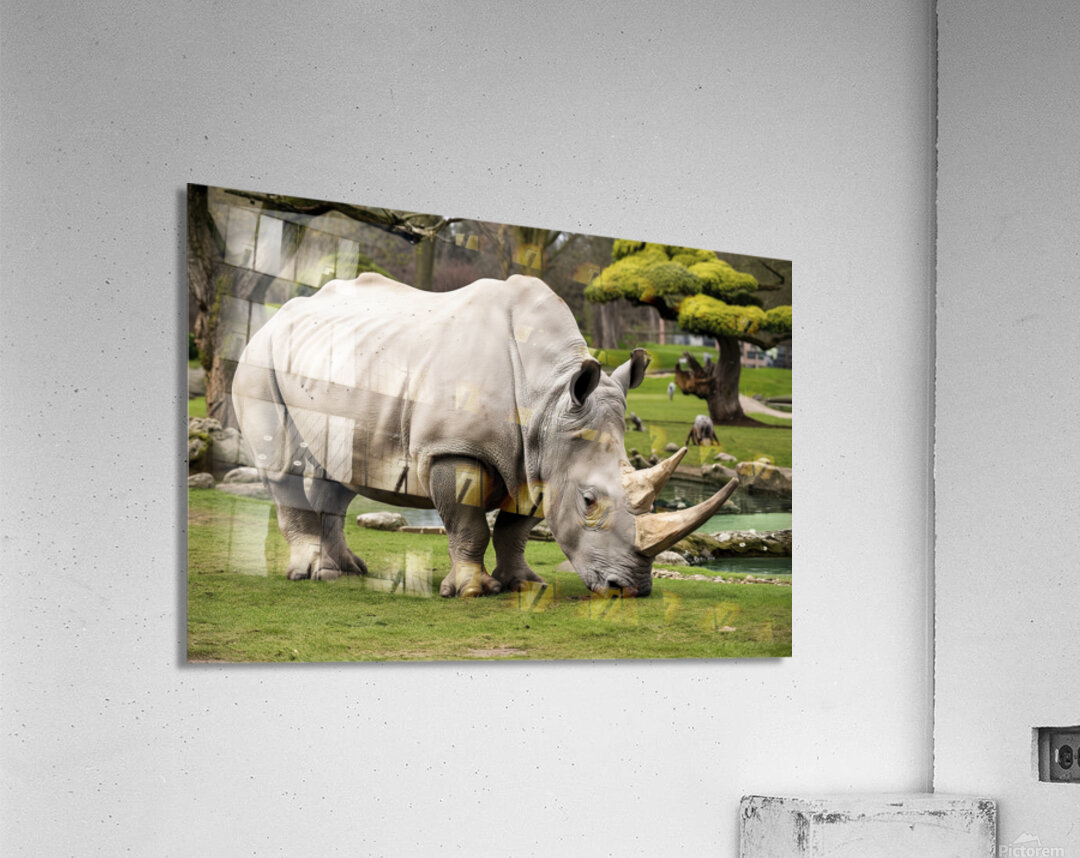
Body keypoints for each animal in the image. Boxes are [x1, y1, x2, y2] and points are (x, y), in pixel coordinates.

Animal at [231, 273, 737, 597]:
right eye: (589, 502)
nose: (628, 589)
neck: (550, 398)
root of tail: (276, 316)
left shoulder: (538, 457)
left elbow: (516, 528)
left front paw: (525, 584)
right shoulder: (452, 449)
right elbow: (468, 522)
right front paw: (472, 591)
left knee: (339, 471)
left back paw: (347, 571)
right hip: (259, 355)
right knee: (281, 464)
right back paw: (315, 574)